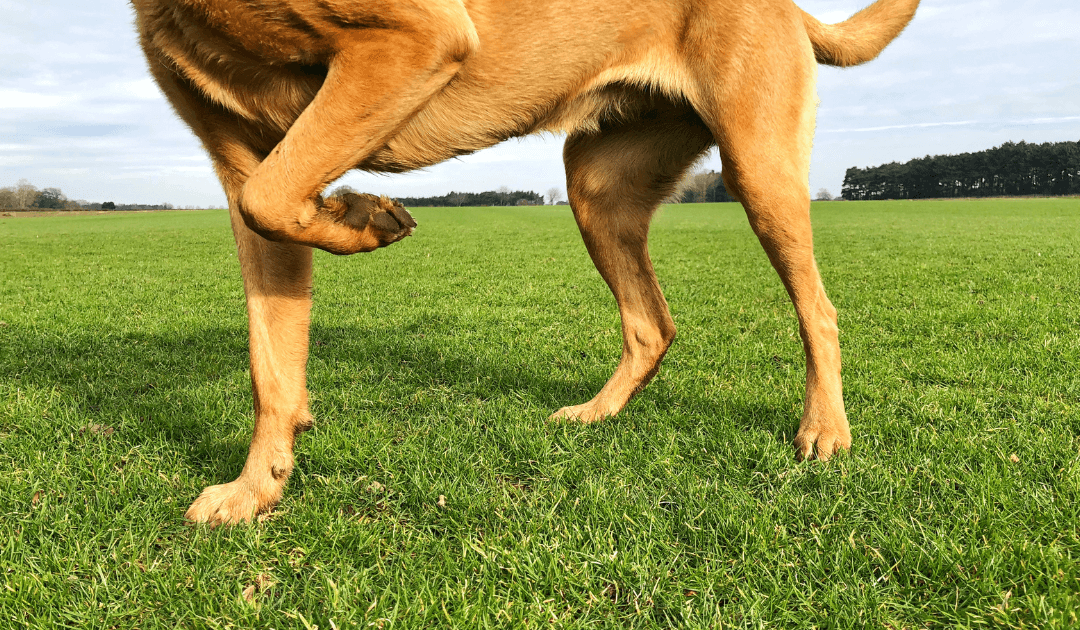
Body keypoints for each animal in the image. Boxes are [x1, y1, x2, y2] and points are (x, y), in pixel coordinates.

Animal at [132, 0, 920, 525]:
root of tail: (795, 10)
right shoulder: (242, 160)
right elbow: (271, 357)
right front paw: (257, 487)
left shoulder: (413, 38)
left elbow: (271, 201)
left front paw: (361, 216)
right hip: (598, 186)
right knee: (652, 324)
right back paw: (598, 413)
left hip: (758, 166)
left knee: (818, 308)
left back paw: (824, 429)